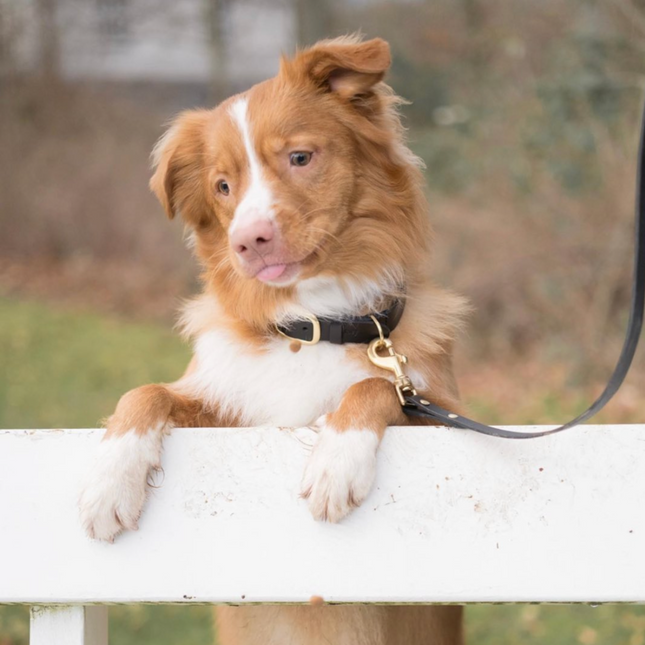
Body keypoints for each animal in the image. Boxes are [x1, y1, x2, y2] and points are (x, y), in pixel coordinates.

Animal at [78, 35, 466, 644]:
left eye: (300, 158)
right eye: (223, 186)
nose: (248, 242)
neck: (309, 328)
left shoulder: (443, 412)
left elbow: (376, 386)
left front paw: (337, 460)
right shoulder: (231, 410)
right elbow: (146, 392)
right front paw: (110, 479)